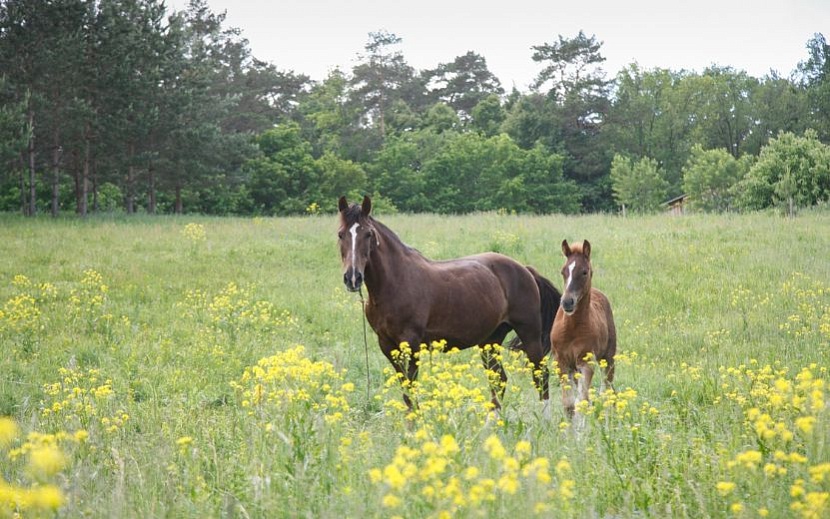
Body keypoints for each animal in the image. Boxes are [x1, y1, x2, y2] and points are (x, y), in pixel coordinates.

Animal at [334, 196, 564, 410]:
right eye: (340, 234)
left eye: (368, 234)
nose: (353, 278)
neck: (395, 282)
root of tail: (526, 270)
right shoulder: (387, 344)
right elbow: (407, 394)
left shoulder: (411, 342)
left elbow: (412, 392)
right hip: (491, 340)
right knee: (499, 380)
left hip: (529, 333)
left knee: (541, 375)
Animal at [552, 240, 616, 418]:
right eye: (563, 271)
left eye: (584, 272)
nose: (567, 302)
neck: (571, 329)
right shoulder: (561, 362)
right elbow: (569, 405)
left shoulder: (586, 362)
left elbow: (582, 402)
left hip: (608, 359)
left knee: (607, 391)